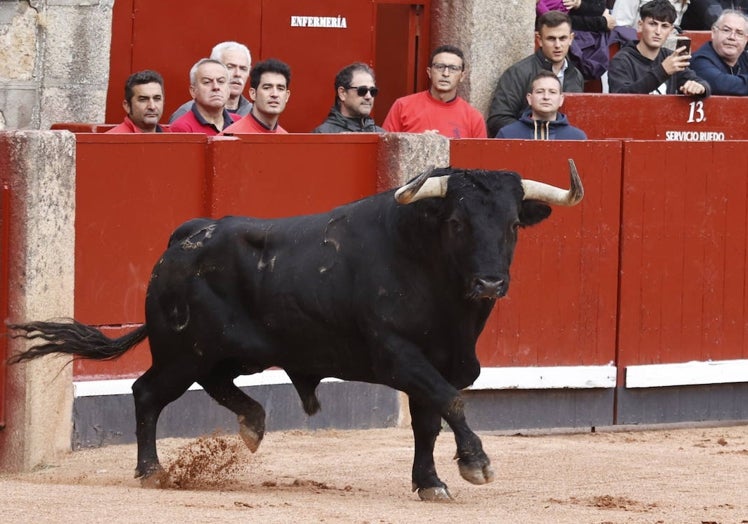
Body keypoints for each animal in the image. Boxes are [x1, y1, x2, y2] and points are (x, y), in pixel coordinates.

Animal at [4, 162, 584, 502]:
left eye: (512, 224)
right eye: (459, 223)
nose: (490, 282)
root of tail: (188, 236)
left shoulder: (441, 361)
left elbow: (429, 420)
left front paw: (431, 482)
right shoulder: (399, 356)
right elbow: (452, 403)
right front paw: (476, 465)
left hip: (224, 352)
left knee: (216, 385)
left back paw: (253, 424)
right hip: (181, 351)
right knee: (146, 392)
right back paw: (152, 471)